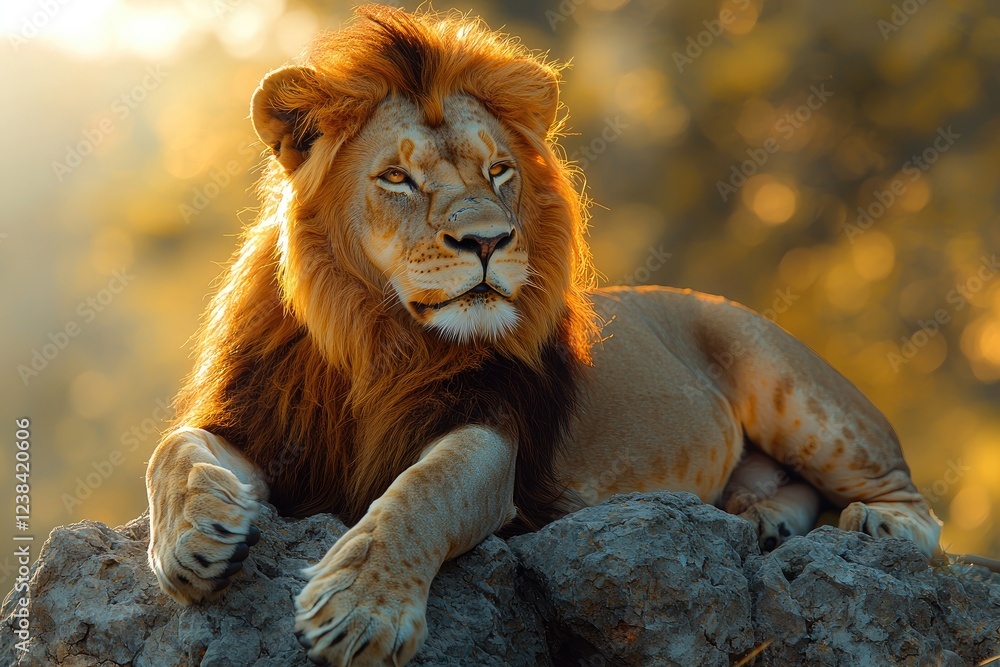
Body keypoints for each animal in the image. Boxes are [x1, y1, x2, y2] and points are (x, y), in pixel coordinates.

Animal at [145, 5, 943, 665]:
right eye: (397, 178)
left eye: (499, 170)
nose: (488, 241)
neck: (377, 338)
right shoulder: (259, 423)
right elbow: (173, 451)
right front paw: (190, 542)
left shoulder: (493, 433)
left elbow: (421, 493)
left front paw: (362, 610)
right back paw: (764, 518)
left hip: (796, 389)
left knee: (911, 502)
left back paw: (880, 528)